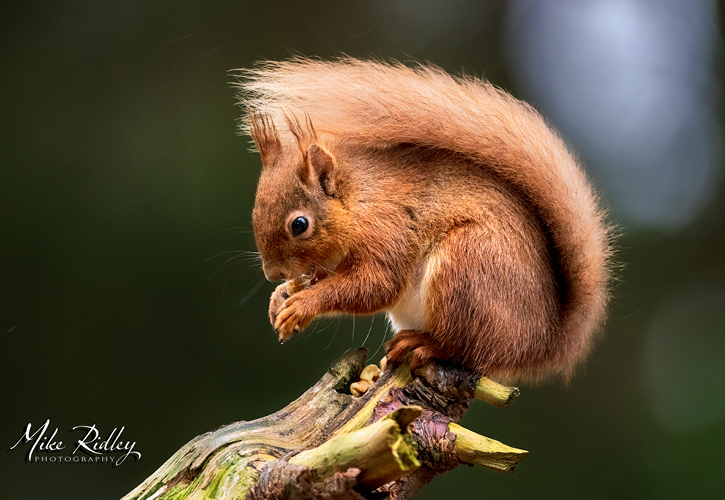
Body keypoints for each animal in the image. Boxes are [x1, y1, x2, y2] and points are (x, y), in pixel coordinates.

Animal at [236, 57, 612, 382]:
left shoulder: (388, 229)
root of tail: (540, 341)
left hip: (469, 266)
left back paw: (425, 344)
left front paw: (302, 304)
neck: (359, 201)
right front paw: (280, 298)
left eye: (299, 225)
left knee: (466, 349)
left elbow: (374, 284)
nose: (273, 274)